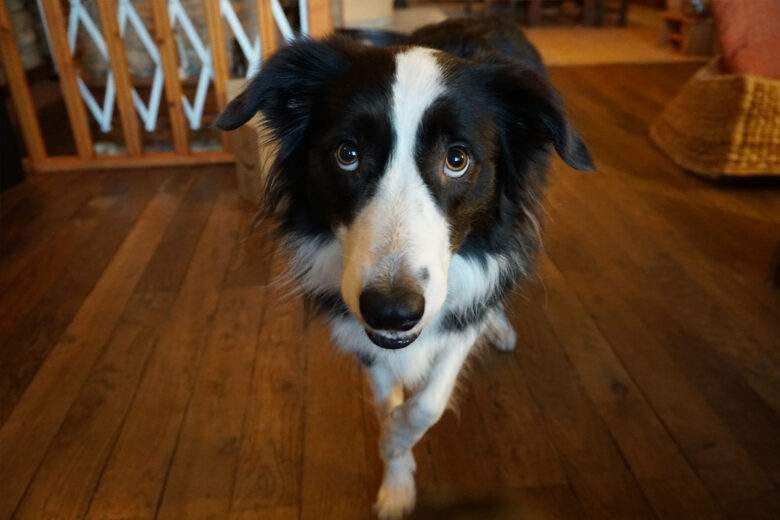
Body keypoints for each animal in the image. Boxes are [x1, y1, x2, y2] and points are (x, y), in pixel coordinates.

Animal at [213, 15, 592, 516]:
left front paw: (394, 442)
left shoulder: (457, 306)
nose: (392, 311)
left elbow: (427, 403)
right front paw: (395, 476)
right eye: (347, 154)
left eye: (457, 159)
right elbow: (385, 397)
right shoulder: (361, 331)